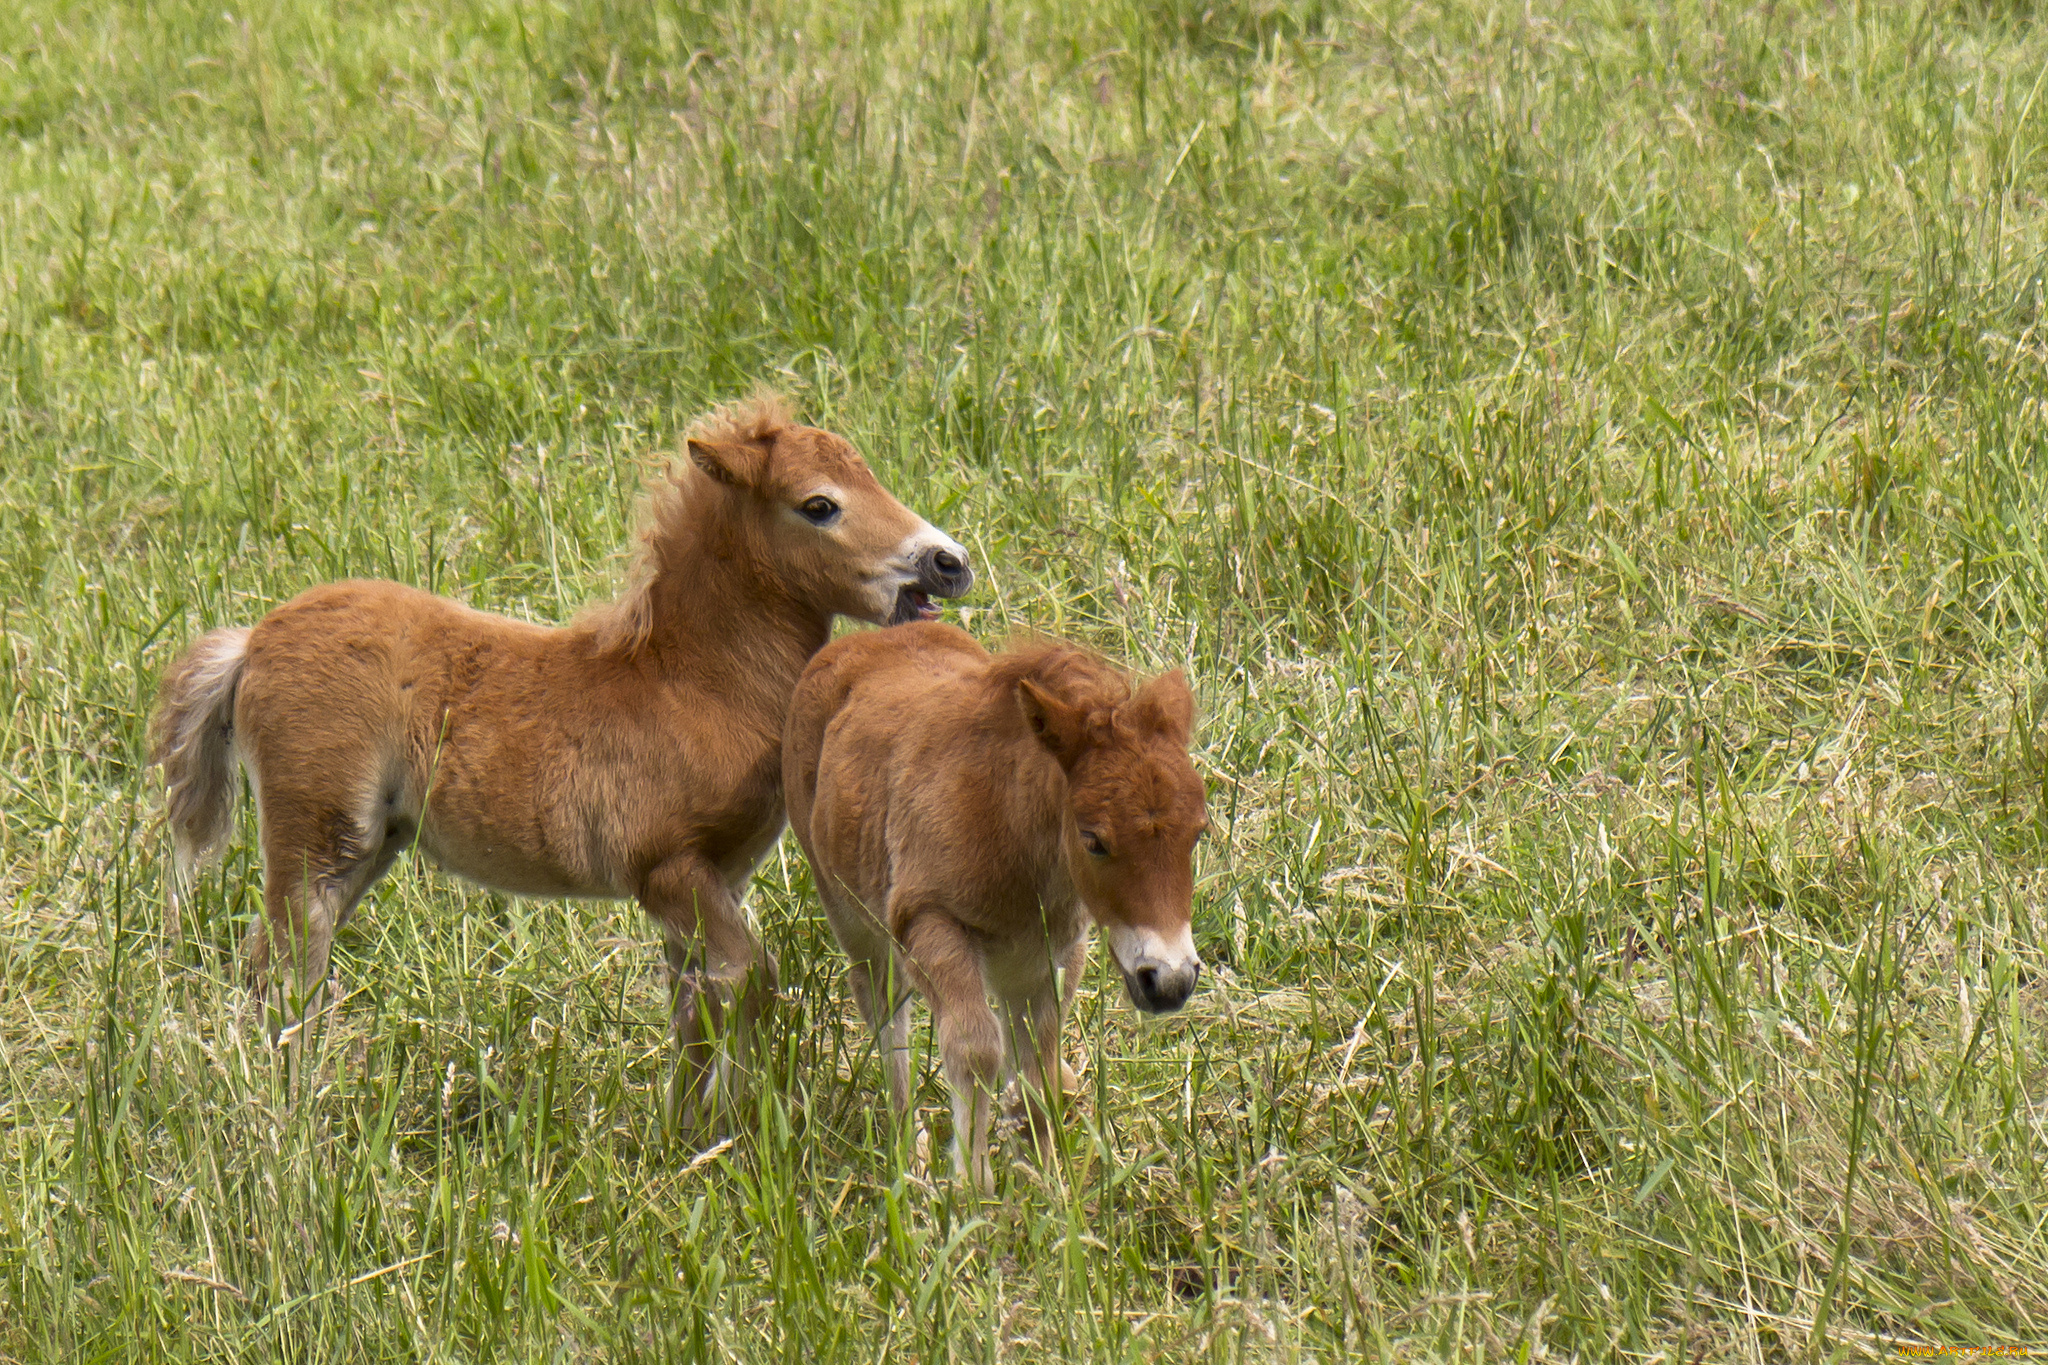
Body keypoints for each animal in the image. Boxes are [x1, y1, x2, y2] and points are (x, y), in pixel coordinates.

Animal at [151, 394, 966, 1121]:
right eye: (819, 505)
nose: (948, 561)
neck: (691, 681)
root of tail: (252, 641)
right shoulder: (667, 868)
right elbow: (746, 980)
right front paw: (730, 1136)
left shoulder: (708, 881)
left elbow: (695, 1005)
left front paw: (681, 1140)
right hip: (316, 837)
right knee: (291, 971)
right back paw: (290, 1121)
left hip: (367, 848)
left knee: (269, 963)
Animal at [778, 626, 1196, 1186]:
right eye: (1093, 841)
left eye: (1199, 832)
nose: (1170, 980)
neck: (1008, 819)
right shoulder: (929, 921)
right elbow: (975, 1050)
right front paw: (972, 1189)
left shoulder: (1056, 951)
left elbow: (1040, 1060)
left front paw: (1046, 1184)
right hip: (851, 914)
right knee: (885, 1010)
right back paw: (907, 1151)